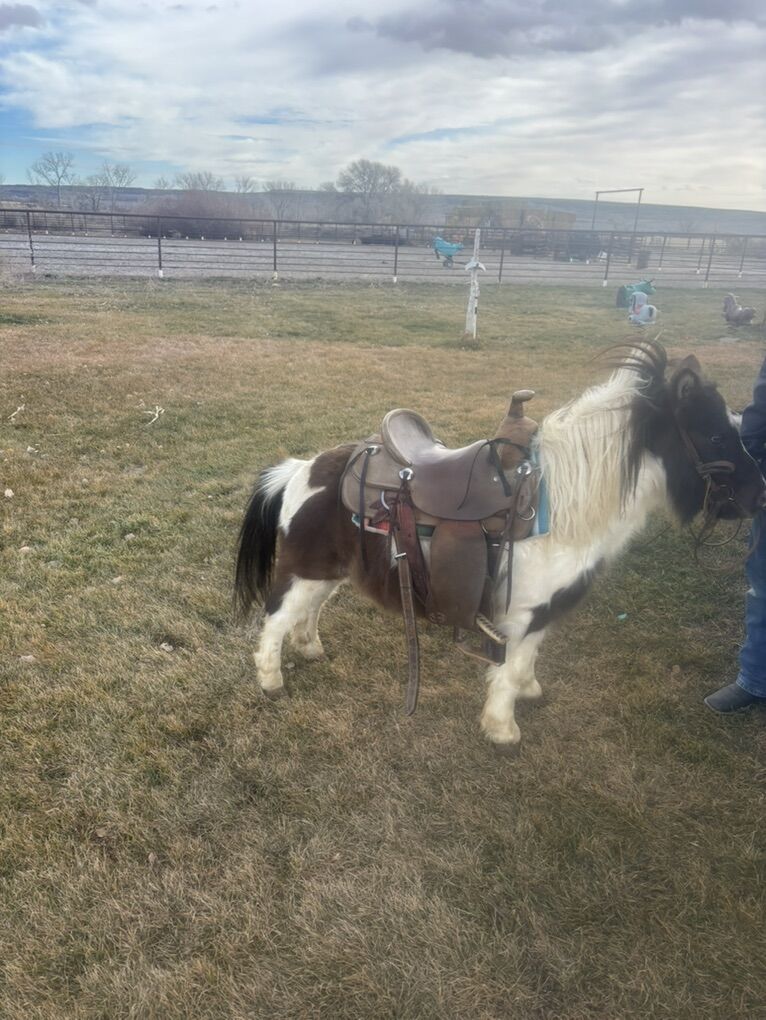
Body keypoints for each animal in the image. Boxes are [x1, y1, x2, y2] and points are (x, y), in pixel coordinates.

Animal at [234, 341, 766, 752]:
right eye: (715, 434)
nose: (760, 494)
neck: (561, 509)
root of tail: (301, 469)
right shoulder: (522, 613)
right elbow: (507, 669)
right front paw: (502, 730)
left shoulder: (540, 610)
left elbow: (527, 658)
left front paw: (529, 691)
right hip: (306, 570)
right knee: (275, 620)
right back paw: (271, 680)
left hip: (331, 571)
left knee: (308, 611)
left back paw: (311, 649)